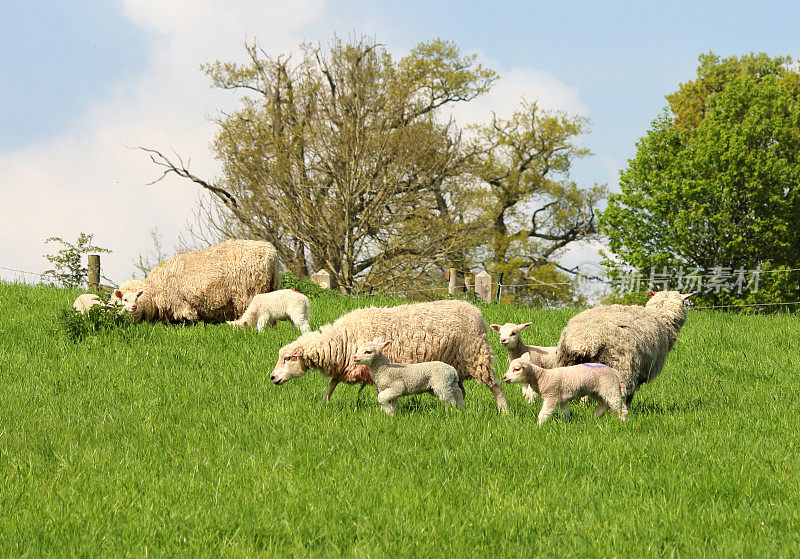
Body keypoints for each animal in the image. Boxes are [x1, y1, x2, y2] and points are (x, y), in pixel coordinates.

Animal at [117, 240, 282, 326]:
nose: (130, 309)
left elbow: (192, 320)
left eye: (131, 298)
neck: (154, 291)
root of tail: (271, 253)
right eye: (123, 300)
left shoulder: (181, 306)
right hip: (270, 289)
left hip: (248, 293)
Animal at [268, 300, 506, 414]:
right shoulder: (345, 366)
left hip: (476, 356)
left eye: (287, 358)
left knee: (495, 386)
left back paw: (503, 410)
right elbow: (331, 386)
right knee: (460, 391)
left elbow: (382, 394)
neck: (342, 340)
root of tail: (476, 311)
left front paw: (387, 411)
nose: (272, 378)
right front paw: (322, 405)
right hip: (454, 367)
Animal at [552, 288, 692, 406]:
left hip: (567, 364)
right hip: (622, 367)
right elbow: (632, 393)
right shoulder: (642, 369)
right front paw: (629, 407)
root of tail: (586, 341)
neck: (660, 318)